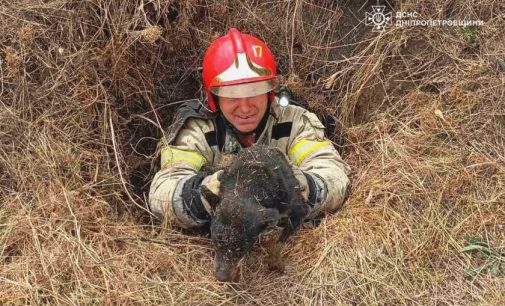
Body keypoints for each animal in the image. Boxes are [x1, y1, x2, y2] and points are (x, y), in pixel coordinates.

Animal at [200, 146, 310, 282]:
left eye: (243, 248)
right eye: (215, 241)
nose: (221, 277)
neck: (248, 185)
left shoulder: (299, 210)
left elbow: (279, 243)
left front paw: (274, 262)